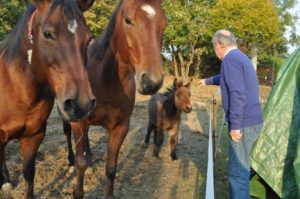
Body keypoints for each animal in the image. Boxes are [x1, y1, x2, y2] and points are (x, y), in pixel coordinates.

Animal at [62, 0, 168, 197]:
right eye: (127, 20)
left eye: (164, 23)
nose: (152, 81)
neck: (104, 79)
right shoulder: (78, 122)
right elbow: (81, 164)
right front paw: (77, 191)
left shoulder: (121, 127)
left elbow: (111, 168)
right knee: (67, 134)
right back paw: (71, 159)